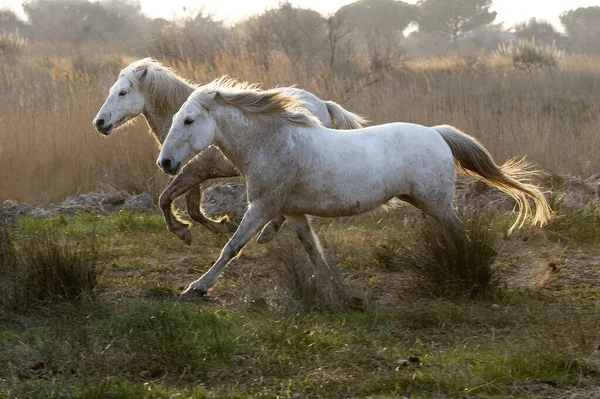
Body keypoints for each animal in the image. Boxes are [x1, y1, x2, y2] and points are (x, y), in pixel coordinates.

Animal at [93, 57, 366, 245]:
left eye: (123, 92)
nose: (99, 123)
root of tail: (323, 104)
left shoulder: (193, 172)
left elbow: (166, 200)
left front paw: (189, 232)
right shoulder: (191, 173)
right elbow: (190, 208)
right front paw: (220, 226)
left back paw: (267, 233)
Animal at [156, 79, 552, 296]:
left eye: (189, 120)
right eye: (176, 118)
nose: (166, 163)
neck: (274, 142)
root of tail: (437, 133)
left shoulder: (263, 206)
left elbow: (232, 246)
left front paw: (197, 287)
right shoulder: (292, 211)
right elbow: (313, 249)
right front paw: (339, 291)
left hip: (438, 203)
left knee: (459, 234)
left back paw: (469, 272)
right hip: (428, 203)